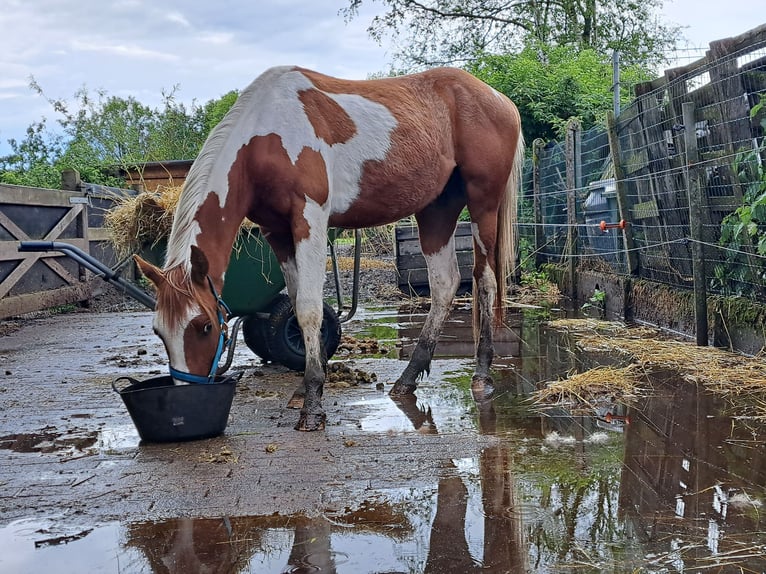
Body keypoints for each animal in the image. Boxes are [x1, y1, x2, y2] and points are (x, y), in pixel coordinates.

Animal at [135, 64, 524, 432]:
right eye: (158, 332)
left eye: (203, 327)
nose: (189, 399)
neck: (265, 136)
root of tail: (499, 99)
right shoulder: (277, 232)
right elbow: (296, 303)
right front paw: (306, 385)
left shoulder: (309, 218)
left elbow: (309, 309)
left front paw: (312, 404)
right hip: (436, 208)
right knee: (445, 284)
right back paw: (407, 380)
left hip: (482, 202)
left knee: (484, 281)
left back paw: (482, 375)